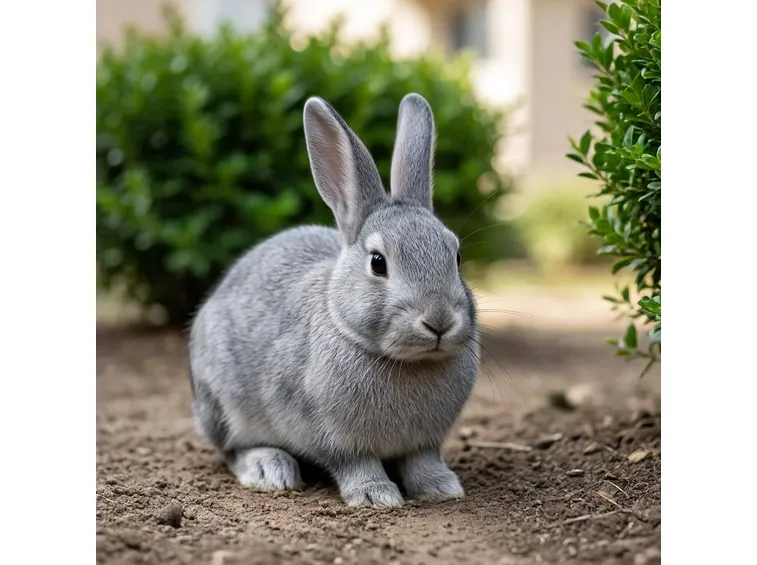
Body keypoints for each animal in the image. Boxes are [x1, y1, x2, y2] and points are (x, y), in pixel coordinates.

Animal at [188, 93, 480, 508]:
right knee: (230, 449)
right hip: (220, 403)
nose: (438, 320)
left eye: (455, 257)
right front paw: (375, 496)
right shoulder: (331, 435)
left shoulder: (423, 442)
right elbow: (355, 463)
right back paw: (268, 469)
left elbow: (421, 461)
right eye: (378, 263)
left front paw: (440, 488)